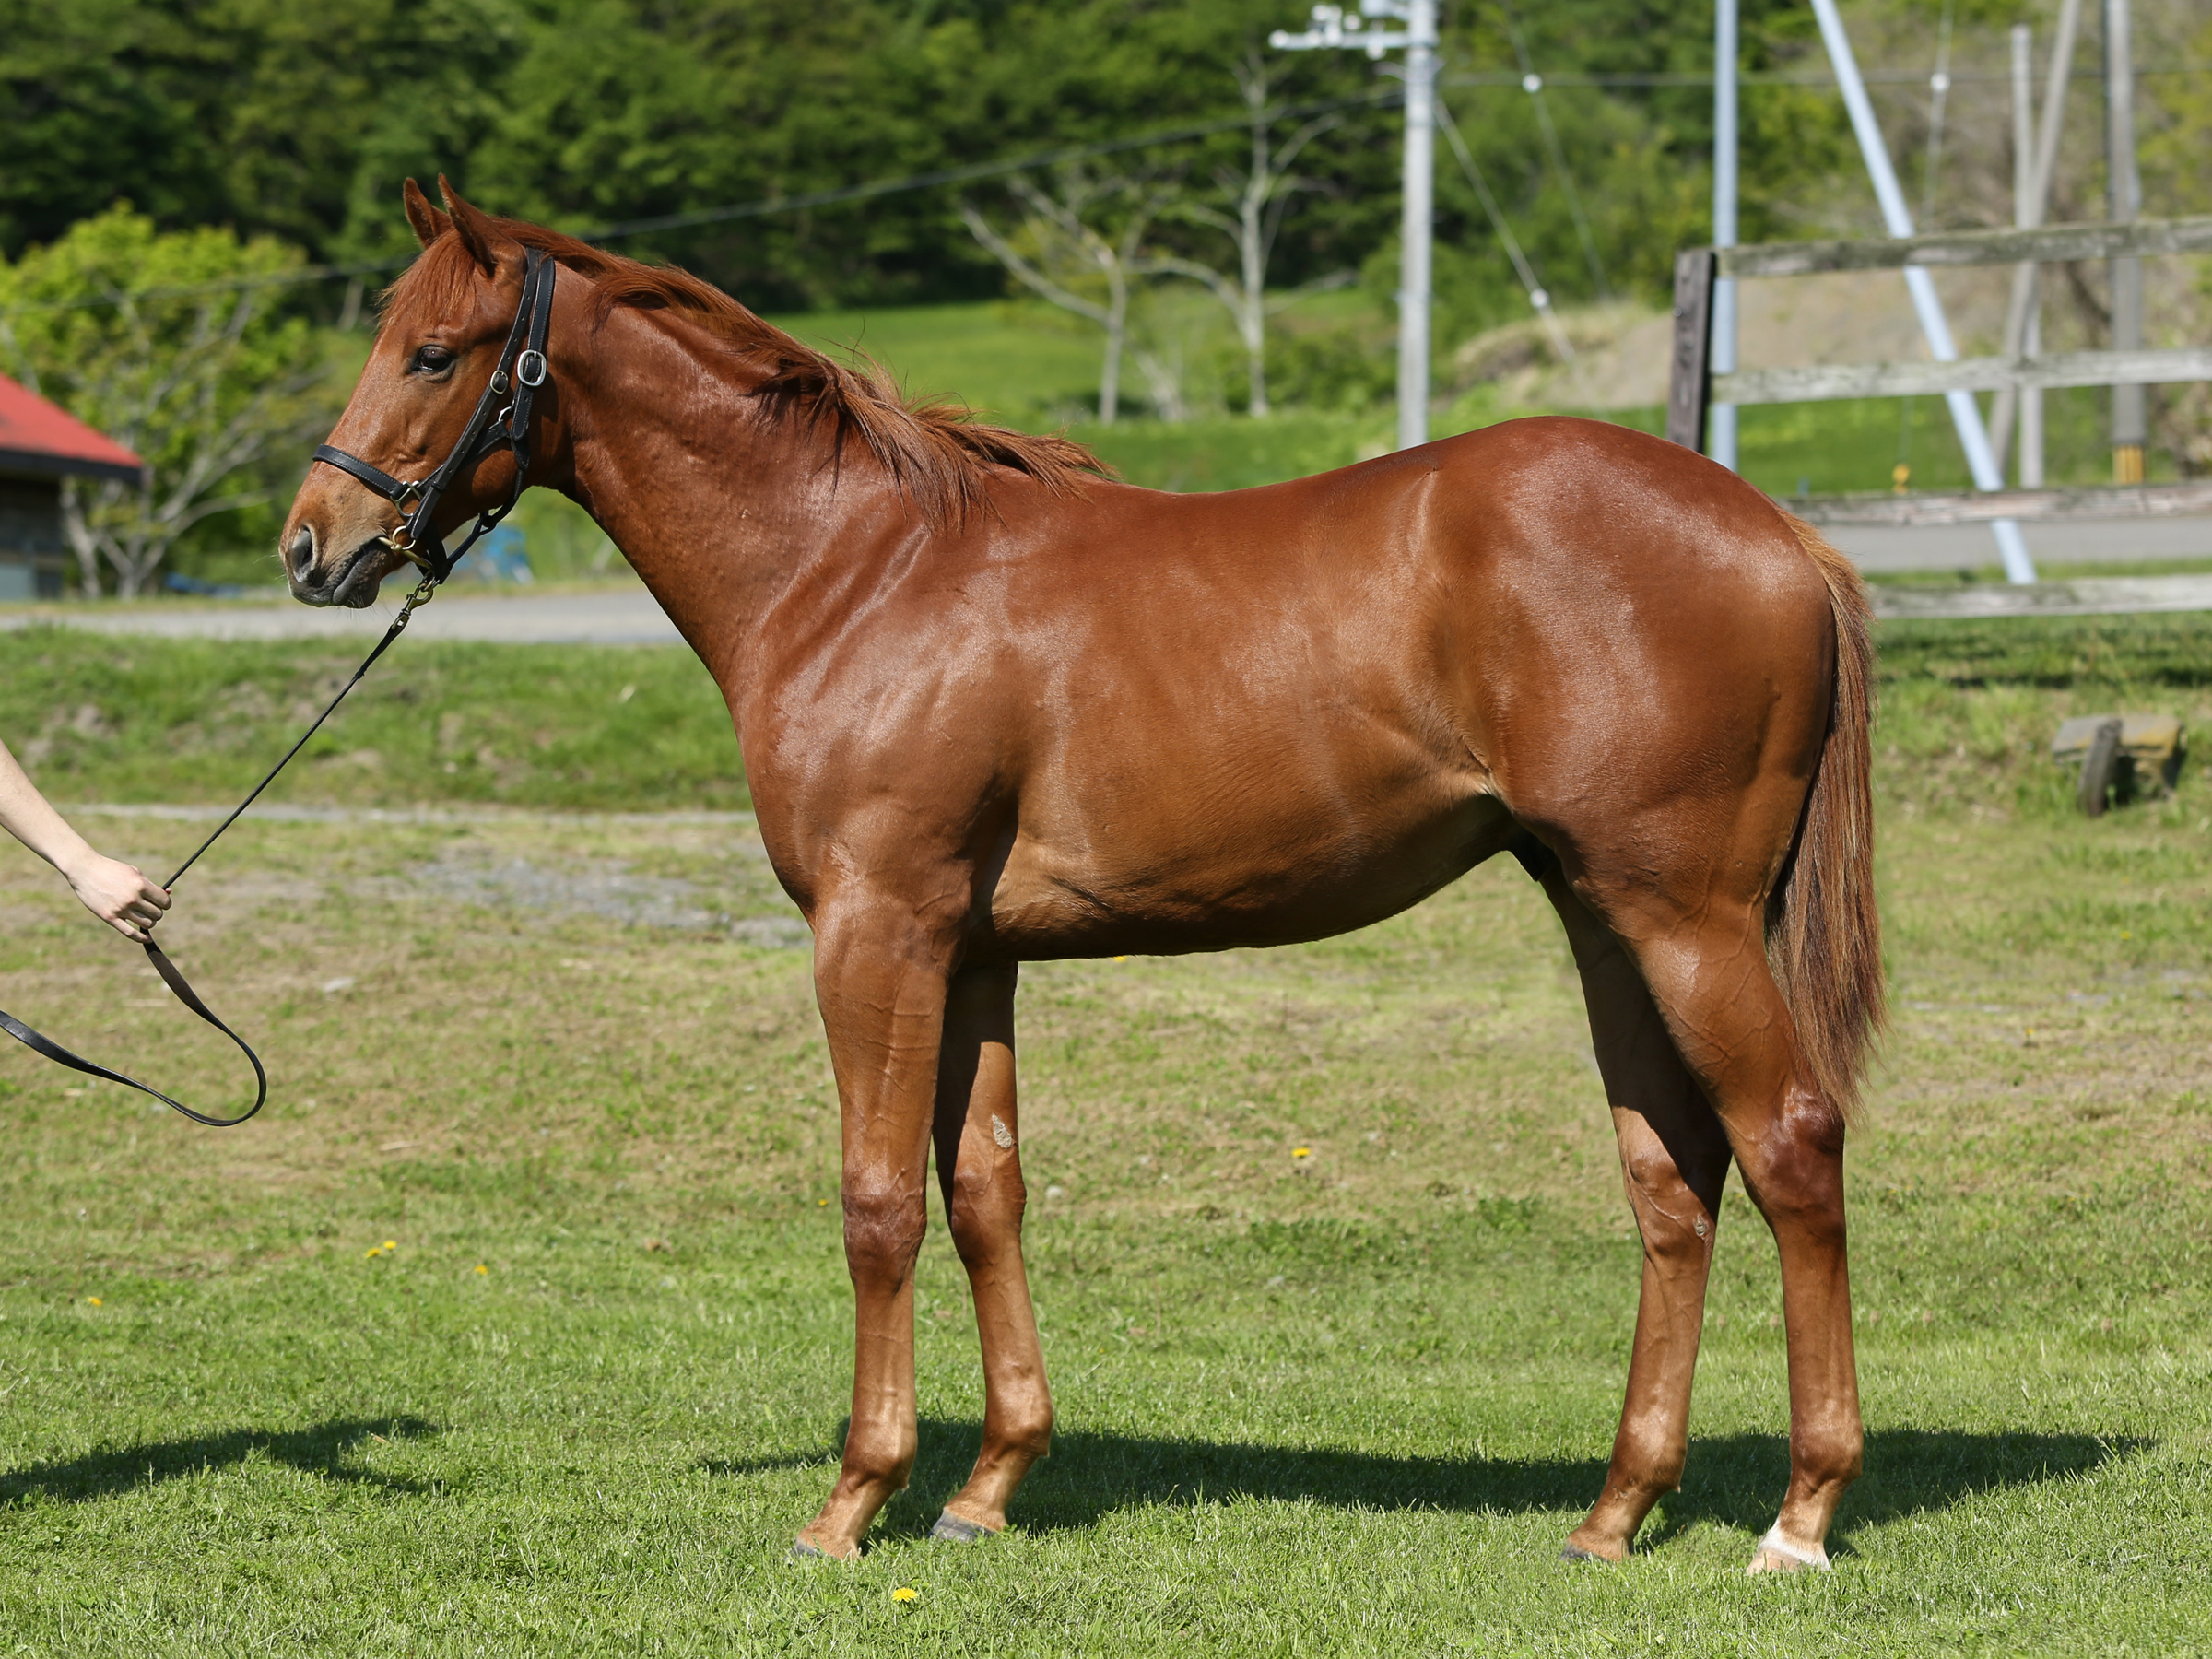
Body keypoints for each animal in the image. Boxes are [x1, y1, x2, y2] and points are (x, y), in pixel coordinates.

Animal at [289, 188, 1884, 1574]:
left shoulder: (877, 933)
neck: (858, 570)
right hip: (1605, 918)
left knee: (1792, 1146)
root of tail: (1782, 534)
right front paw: (987, 1487)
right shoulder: (974, 954)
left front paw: (853, 1501)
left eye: (433, 350)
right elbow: (985, 1192)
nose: (314, 547)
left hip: (1685, 921)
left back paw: (1799, 1517)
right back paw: (1616, 1512)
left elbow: (880, 1201)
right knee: (1673, 1180)